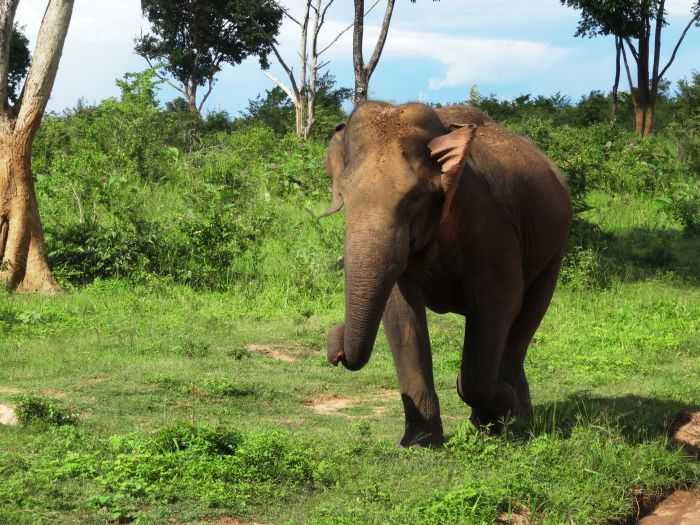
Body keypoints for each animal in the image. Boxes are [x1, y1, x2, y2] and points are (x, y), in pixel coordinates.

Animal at [326, 102, 572, 446]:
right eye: (343, 197)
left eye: (414, 198)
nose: (336, 349)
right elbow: (400, 313)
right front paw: (419, 443)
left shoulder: (490, 224)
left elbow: (500, 301)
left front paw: (494, 411)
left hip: (554, 247)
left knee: (525, 319)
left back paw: (509, 417)